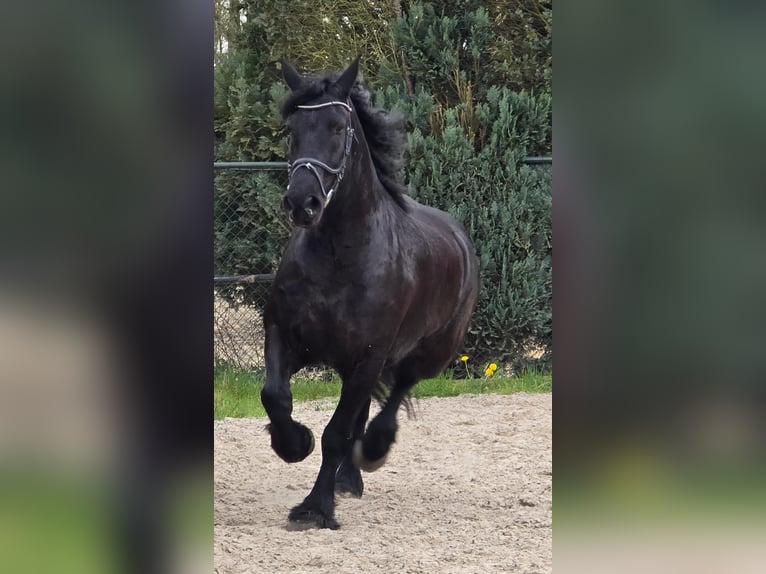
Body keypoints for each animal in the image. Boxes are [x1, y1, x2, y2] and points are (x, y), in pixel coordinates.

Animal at [261, 57, 479, 529]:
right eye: (293, 127)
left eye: (339, 126)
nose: (302, 203)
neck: (340, 255)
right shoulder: (284, 335)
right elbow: (276, 397)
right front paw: (294, 444)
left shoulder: (370, 355)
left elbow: (337, 432)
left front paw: (315, 508)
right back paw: (349, 479)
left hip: (431, 352)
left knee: (398, 391)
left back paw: (374, 450)